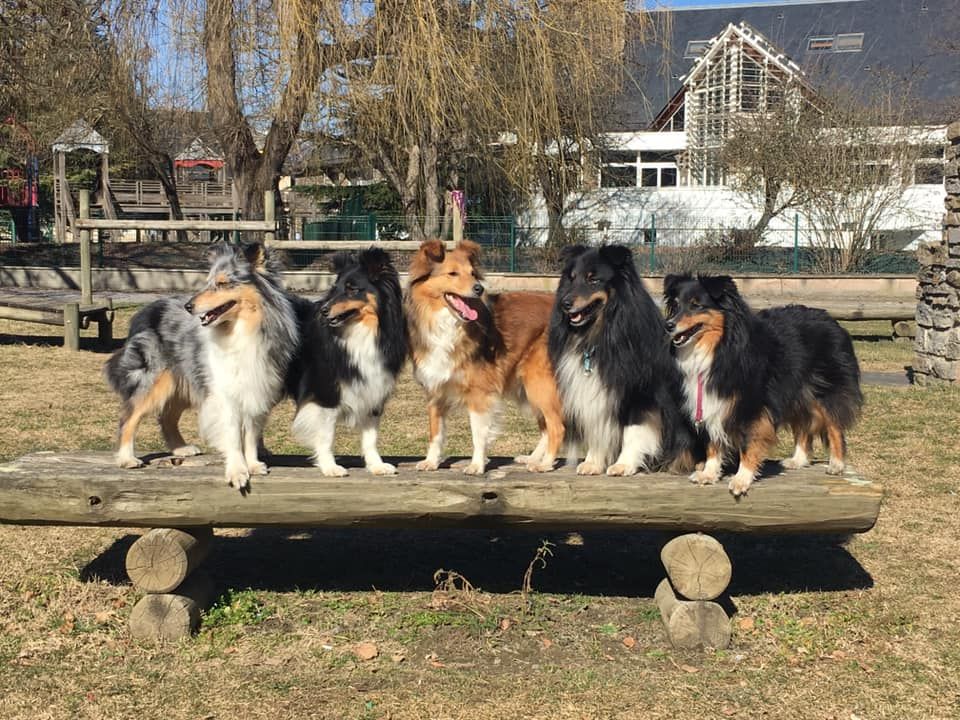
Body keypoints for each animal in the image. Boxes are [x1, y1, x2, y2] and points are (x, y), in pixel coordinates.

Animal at [404, 239, 564, 476]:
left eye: (472, 273)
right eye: (452, 273)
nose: (479, 289)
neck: (447, 324)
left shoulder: (479, 393)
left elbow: (478, 434)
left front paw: (476, 465)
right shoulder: (435, 390)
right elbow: (436, 433)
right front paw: (431, 462)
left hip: (539, 382)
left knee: (557, 426)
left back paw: (545, 464)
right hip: (526, 387)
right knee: (546, 426)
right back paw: (533, 459)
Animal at [668, 274, 864, 496]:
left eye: (696, 305)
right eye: (675, 305)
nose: (668, 325)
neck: (721, 344)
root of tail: (832, 320)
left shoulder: (751, 406)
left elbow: (748, 443)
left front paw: (741, 479)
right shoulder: (712, 401)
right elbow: (713, 441)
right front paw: (709, 473)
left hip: (825, 391)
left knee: (834, 426)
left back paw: (836, 464)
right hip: (797, 393)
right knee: (803, 426)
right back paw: (798, 460)